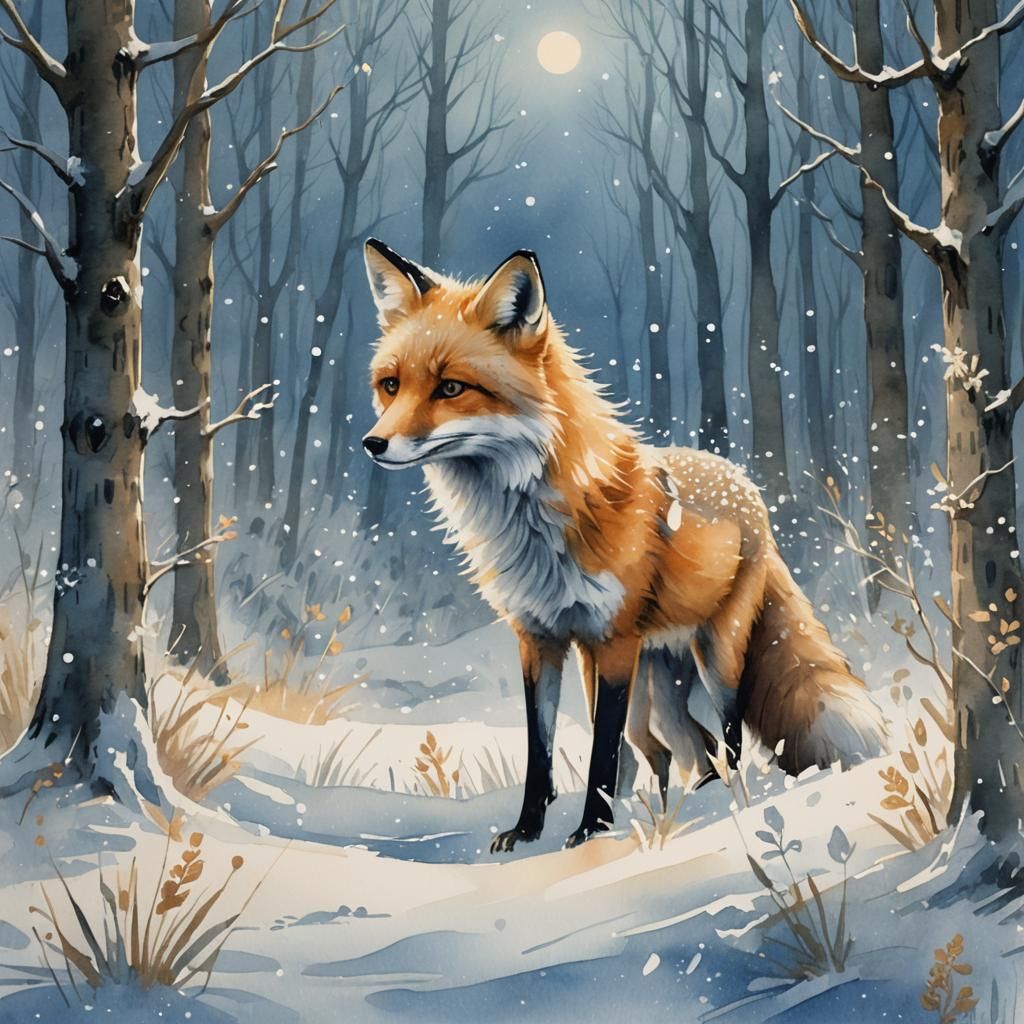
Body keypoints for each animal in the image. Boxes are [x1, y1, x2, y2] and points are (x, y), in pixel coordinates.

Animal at [361, 238, 886, 852]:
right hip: (659, 679)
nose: (373, 444)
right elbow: (543, 750)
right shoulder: (539, 639)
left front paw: (592, 830)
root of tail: (745, 484)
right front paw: (528, 829)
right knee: (690, 747)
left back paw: (728, 809)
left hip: (716, 657)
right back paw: (685, 807)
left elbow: (603, 753)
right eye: (391, 384)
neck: (536, 524)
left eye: (450, 388)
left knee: (728, 740)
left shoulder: (610, 645)